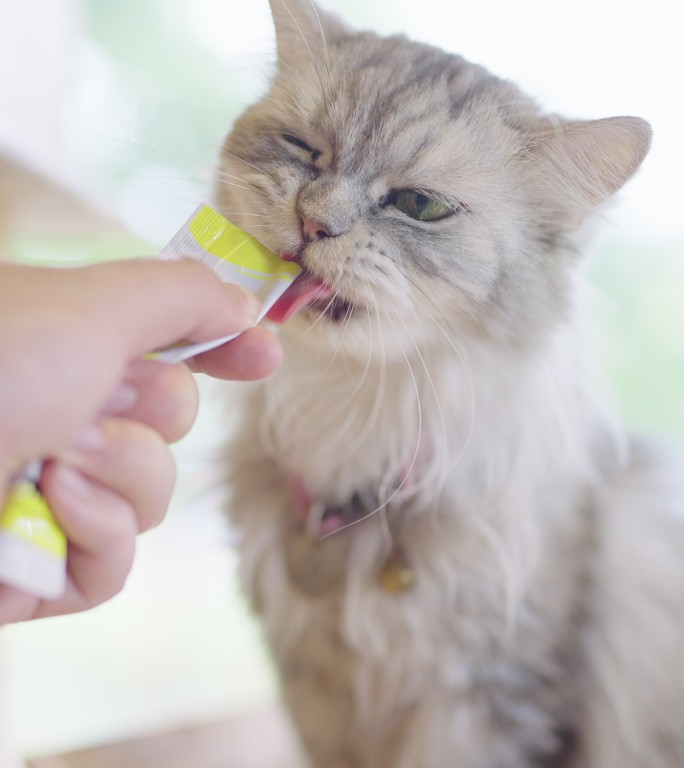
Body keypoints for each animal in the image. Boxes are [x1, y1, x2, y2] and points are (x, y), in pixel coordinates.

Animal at [215, 3, 684, 764]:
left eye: (420, 206)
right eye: (304, 150)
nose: (314, 221)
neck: (350, 422)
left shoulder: (491, 702)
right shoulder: (317, 695)